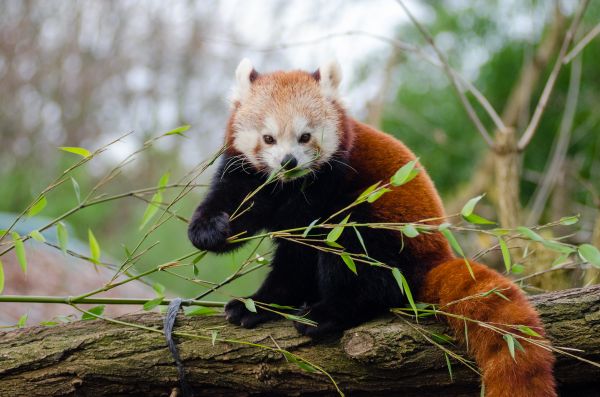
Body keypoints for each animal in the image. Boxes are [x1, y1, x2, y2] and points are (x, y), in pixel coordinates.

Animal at [189, 58, 556, 396]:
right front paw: (211, 234)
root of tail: (435, 258)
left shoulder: (329, 185)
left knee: (357, 259)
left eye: (305, 136)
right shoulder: (246, 173)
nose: (288, 162)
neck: (288, 187)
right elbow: (235, 204)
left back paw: (328, 312)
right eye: (268, 138)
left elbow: (299, 257)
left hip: (385, 235)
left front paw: (270, 302)